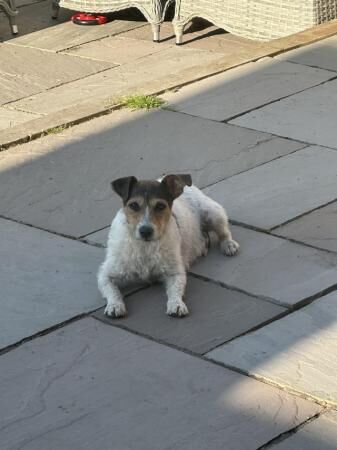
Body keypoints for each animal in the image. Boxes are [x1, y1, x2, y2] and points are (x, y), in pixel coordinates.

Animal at [97, 174, 239, 318]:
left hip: (213, 214)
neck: (145, 247)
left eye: (160, 206)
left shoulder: (175, 272)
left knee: (224, 232)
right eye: (134, 205)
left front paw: (176, 304)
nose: (145, 231)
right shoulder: (106, 274)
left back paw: (228, 244)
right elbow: (112, 291)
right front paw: (115, 305)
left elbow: (175, 291)